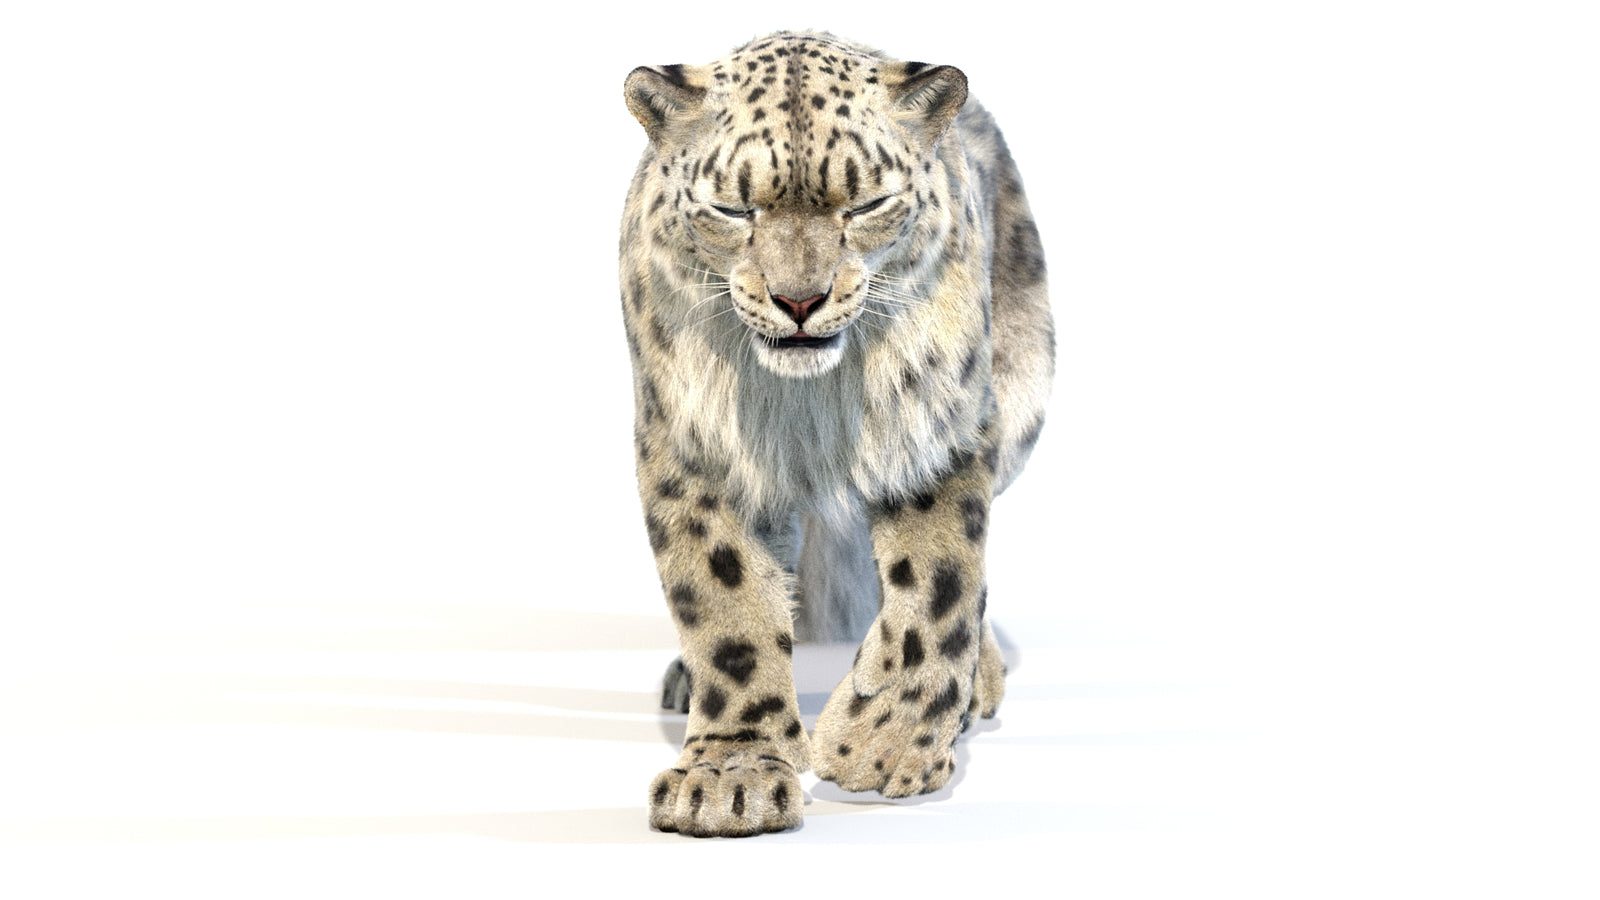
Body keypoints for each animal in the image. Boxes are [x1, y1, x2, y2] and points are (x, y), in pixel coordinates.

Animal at [619, 31, 1053, 837]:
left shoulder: (932, 429)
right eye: (732, 207)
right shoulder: (695, 446)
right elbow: (724, 601)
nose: (799, 299)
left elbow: (939, 589)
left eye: (869, 202)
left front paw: (880, 747)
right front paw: (730, 776)